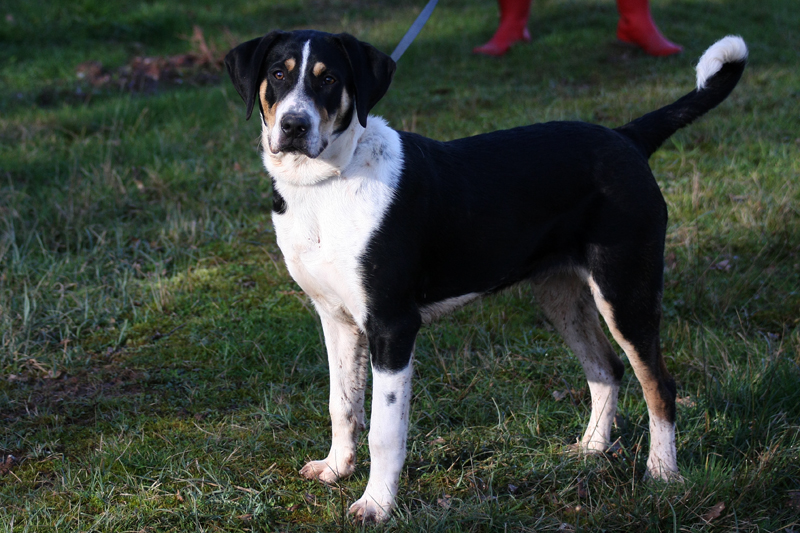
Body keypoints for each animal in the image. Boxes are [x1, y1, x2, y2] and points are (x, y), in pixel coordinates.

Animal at [223, 31, 744, 520]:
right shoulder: (337, 319)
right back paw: (592, 450)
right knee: (605, 368)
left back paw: (663, 474)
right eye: (278, 74)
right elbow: (343, 405)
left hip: (625, 290)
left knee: (658, 384)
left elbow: (386, 431)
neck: (326, 185)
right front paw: (336, 469)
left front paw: (376, 504)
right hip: (561, 296)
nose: (294, 126)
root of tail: (626, 136)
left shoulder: (393, 326)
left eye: (329, 78)